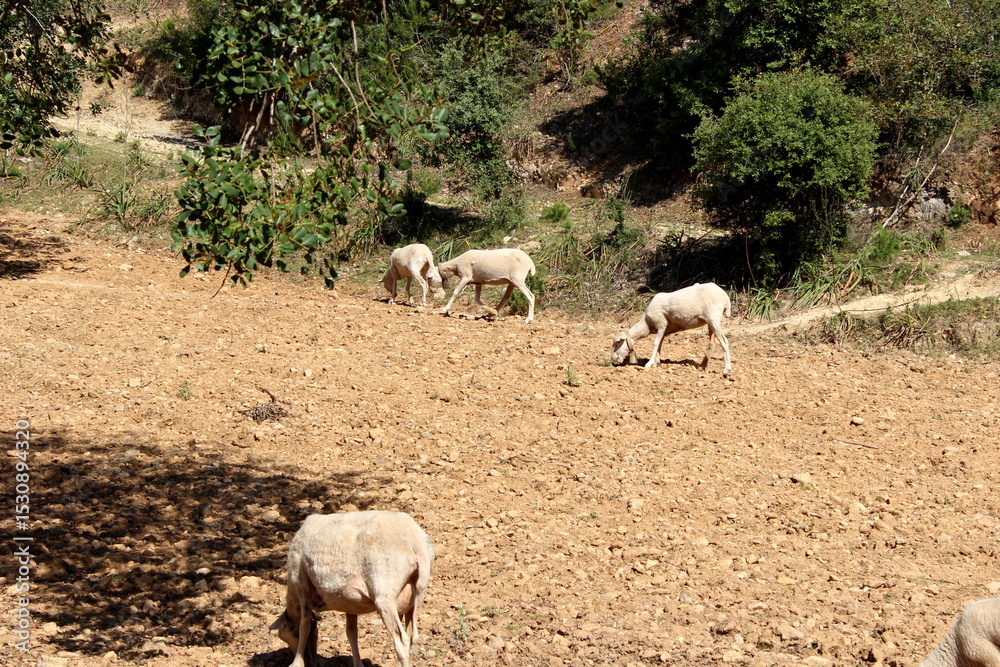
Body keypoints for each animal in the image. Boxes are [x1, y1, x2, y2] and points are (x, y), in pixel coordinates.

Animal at [270, 511, 434, 667]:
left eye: (283, 636)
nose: (311, 660)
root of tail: (415, 541)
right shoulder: (350, 604)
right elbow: (351, 633)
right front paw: (357, 663)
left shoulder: (301, 584)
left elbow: (304, 625)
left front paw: (296, 662)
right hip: (415, 595)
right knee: (413, 637)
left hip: (385, 589)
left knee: (402, 641)